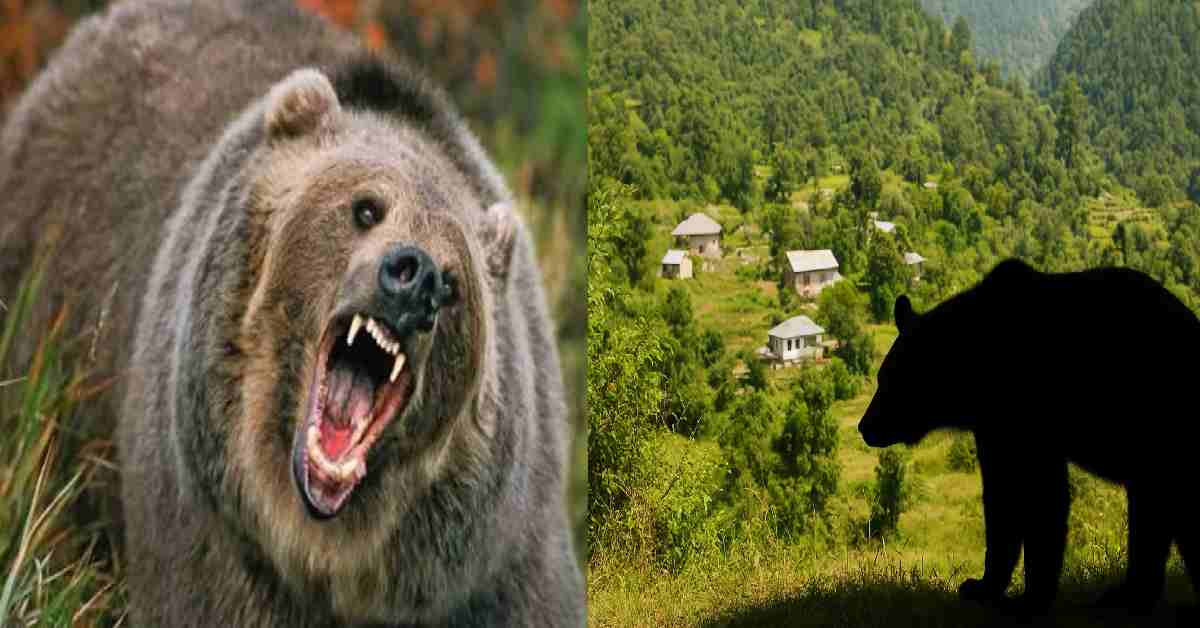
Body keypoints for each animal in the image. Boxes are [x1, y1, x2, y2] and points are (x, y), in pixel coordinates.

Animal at [0, 1, 584, 626]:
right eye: (366, 208)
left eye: (454, 281)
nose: (417, 277)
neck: (328, 550)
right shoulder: (211, 533)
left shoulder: (498, 563)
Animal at [858, 258, 1198, 614]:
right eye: (881, 377)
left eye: (890, 380)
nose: (866, 426)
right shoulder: (994, 428)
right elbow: (1001, 499)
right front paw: (983, 585)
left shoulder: (1030, 417)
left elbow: (1043, 498)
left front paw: (1030, 597)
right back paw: (1129, 594)